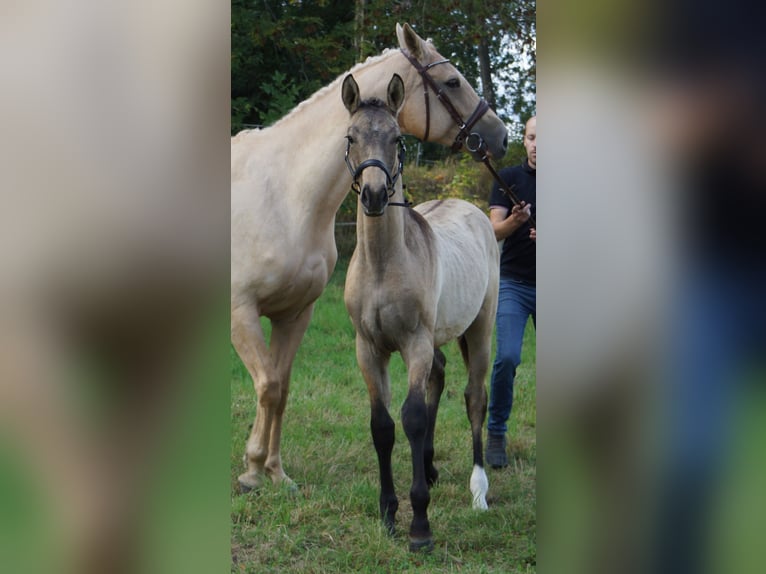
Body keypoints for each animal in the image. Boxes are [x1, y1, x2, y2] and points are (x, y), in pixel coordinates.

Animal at [231, 23, 507, 491]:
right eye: (452, 81)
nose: (500, 136)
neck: (284, 194)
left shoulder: (295, 312)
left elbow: (280, 386)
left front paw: (274, 470)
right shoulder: (242, 311)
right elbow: (267, 385)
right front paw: (252, 470)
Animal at [341, 73, 500, 552]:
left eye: (397, 139)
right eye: (351, 137)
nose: (375, 196)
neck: (382, 264)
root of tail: (471, 208)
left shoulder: (414, 344)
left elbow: (411, 417)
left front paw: (420, 526)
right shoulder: (369, 348)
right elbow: (382, 425)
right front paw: (389, 514)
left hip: (480, 329)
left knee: (474, 397)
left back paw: (479, 492)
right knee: (440, 378)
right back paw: (428, 466)